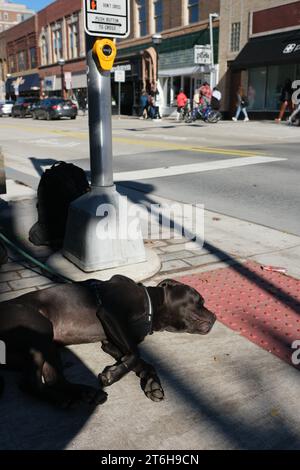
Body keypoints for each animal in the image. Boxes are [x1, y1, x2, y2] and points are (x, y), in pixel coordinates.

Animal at [0, 276, 216, 408]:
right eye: (200, 300)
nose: (215, 316)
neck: (151, 306)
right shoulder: (111, 314)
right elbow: (136, 354)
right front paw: (111, 375)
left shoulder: (112, 342)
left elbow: (141, 361)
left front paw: (153, 384)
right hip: (40, 330)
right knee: (30, 384)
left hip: (48, 344)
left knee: (53, 379)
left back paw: (86, 393)